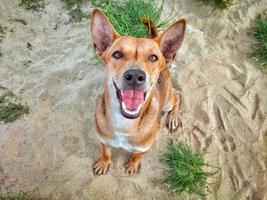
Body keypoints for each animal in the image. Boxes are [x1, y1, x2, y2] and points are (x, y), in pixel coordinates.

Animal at [92, 7, 186, 174]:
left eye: (153, 57)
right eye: (117, 54)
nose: (135, 76)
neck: (124, 123)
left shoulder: (143, 148)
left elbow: (137, 155)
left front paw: (133, 164)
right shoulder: (104, 140)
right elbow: (106, 152)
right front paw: (104, 163)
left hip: (168, 100)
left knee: (177, 96)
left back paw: (173, 117)